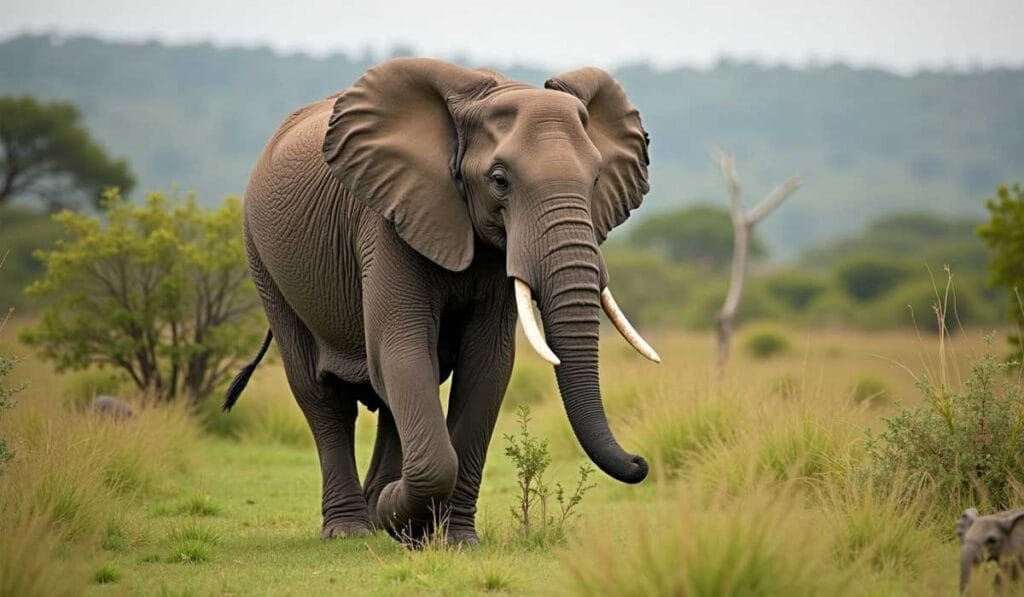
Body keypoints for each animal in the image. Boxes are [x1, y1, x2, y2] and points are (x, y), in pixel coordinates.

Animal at [224, 58, 659, 544]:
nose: (640, 462)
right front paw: (398, 516)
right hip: (263, 261)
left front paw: (450, 538)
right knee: (321, 395)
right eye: (499, 181)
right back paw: (352, 528)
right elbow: (401, 347)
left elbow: (486, 366)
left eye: (597, 178)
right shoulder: (386, 219)